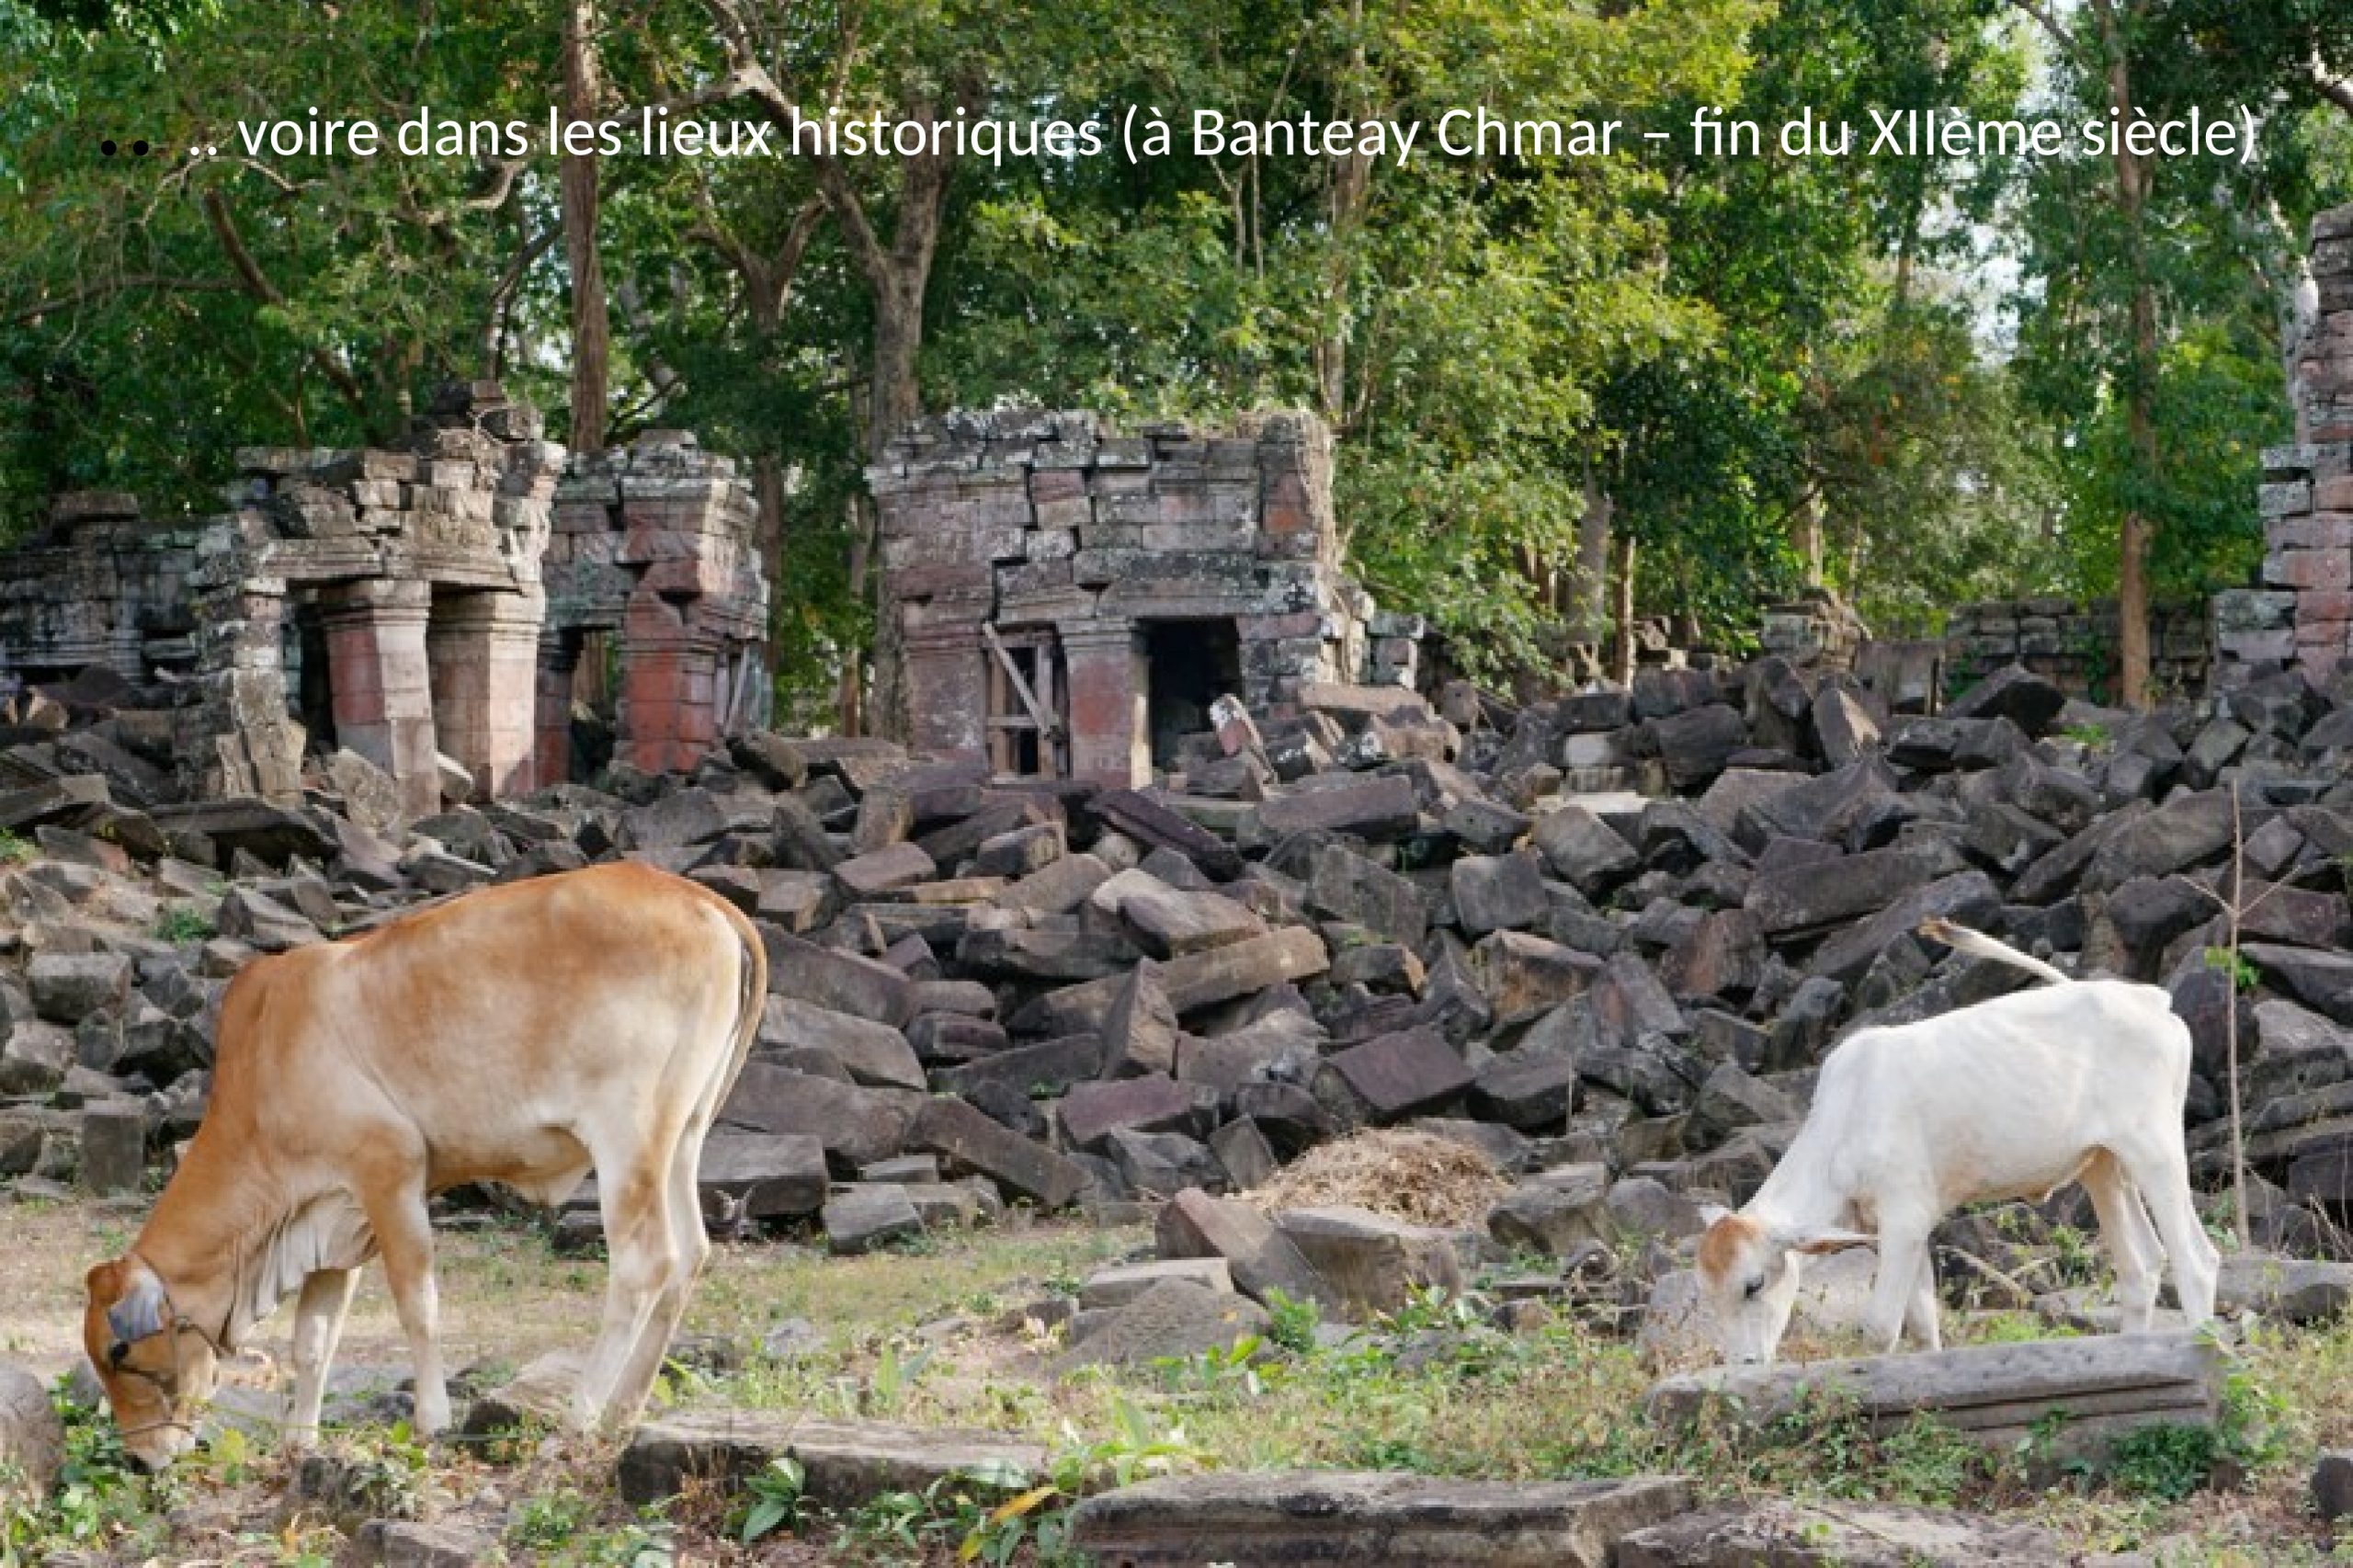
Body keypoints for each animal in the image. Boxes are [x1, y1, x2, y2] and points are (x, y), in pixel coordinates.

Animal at [82, 861, 764, 1470]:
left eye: (120, 1352)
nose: (142, 1459)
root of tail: (703, 900)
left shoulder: (390, 1174)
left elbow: (418, 1305)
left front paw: (433, 1422)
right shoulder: (333, 1218)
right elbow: (313, 1340)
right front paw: (299, 1444)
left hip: (628, 1137)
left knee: (644, 1264)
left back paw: (579, 1420)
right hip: (682, 1136)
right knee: (690, 1256)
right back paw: (623, 1415)